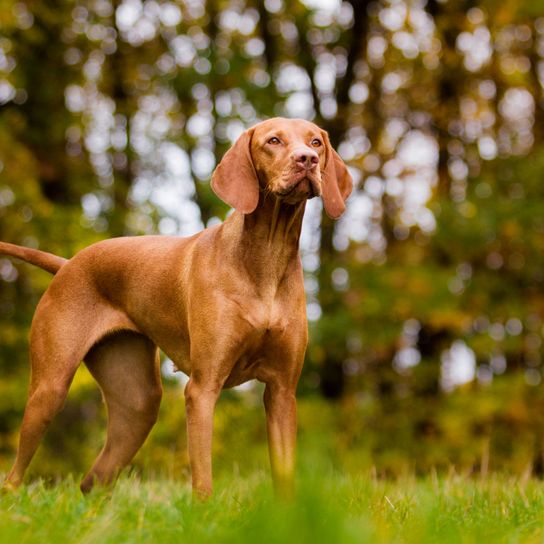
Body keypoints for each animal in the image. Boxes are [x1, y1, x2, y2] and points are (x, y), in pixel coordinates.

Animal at [0, 117, 352, 500]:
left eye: (316, 142)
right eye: (274, 140)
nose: (308, 160)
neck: (267, 258)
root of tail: (68, 264)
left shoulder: (282, 392)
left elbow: (284, 477)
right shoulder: (202, 388)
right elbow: (203, 477)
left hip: (138, 403)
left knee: (93, 479)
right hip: (50, 389)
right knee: (15, 474)